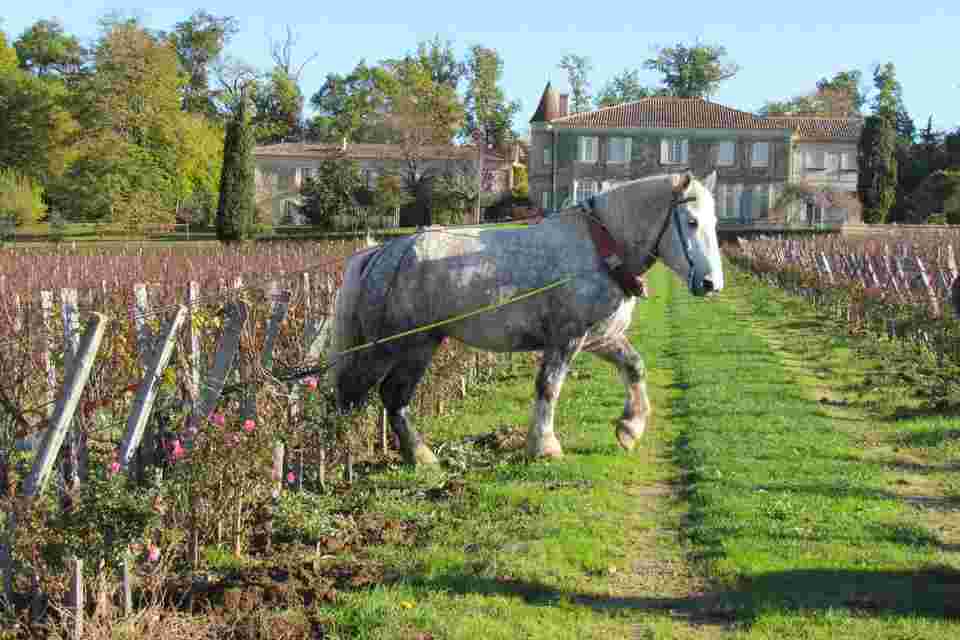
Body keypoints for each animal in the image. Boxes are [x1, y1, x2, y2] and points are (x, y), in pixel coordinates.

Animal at [326, 170, 724, 464]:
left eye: (715, 221)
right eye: (691, 222)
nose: (711, 283)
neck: (600, 248)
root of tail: (383, 252)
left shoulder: (600, 337)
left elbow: (635, 367)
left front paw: (630, 428)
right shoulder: (565, 338)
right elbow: (548, 387)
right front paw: (544, 445)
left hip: (422, 344)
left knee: (391, 397)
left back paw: (419, 456)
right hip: (390, 346)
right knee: (353, 394)